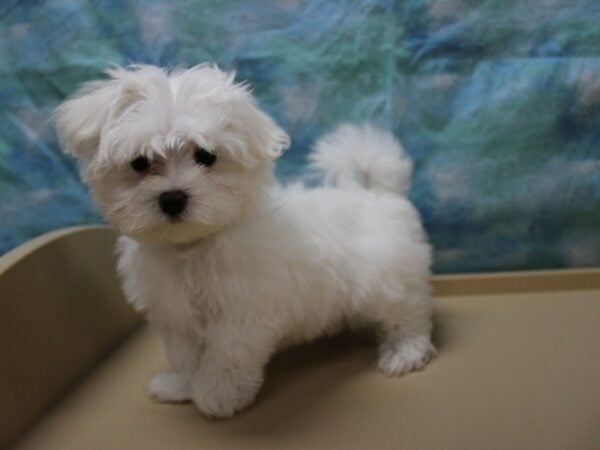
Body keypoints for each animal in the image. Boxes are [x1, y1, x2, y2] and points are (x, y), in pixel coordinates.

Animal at [54, 64, 434, 418]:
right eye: (140, 162)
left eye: (206, 156)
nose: (172, 198)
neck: (193, 245)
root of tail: (380, 192)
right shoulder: (175, 313)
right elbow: (184, 354)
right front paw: (181, 385)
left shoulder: (241, 313)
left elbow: (227, 355)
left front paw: (216, 394)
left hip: (387, 280)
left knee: (408, 313)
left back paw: (406, 351)